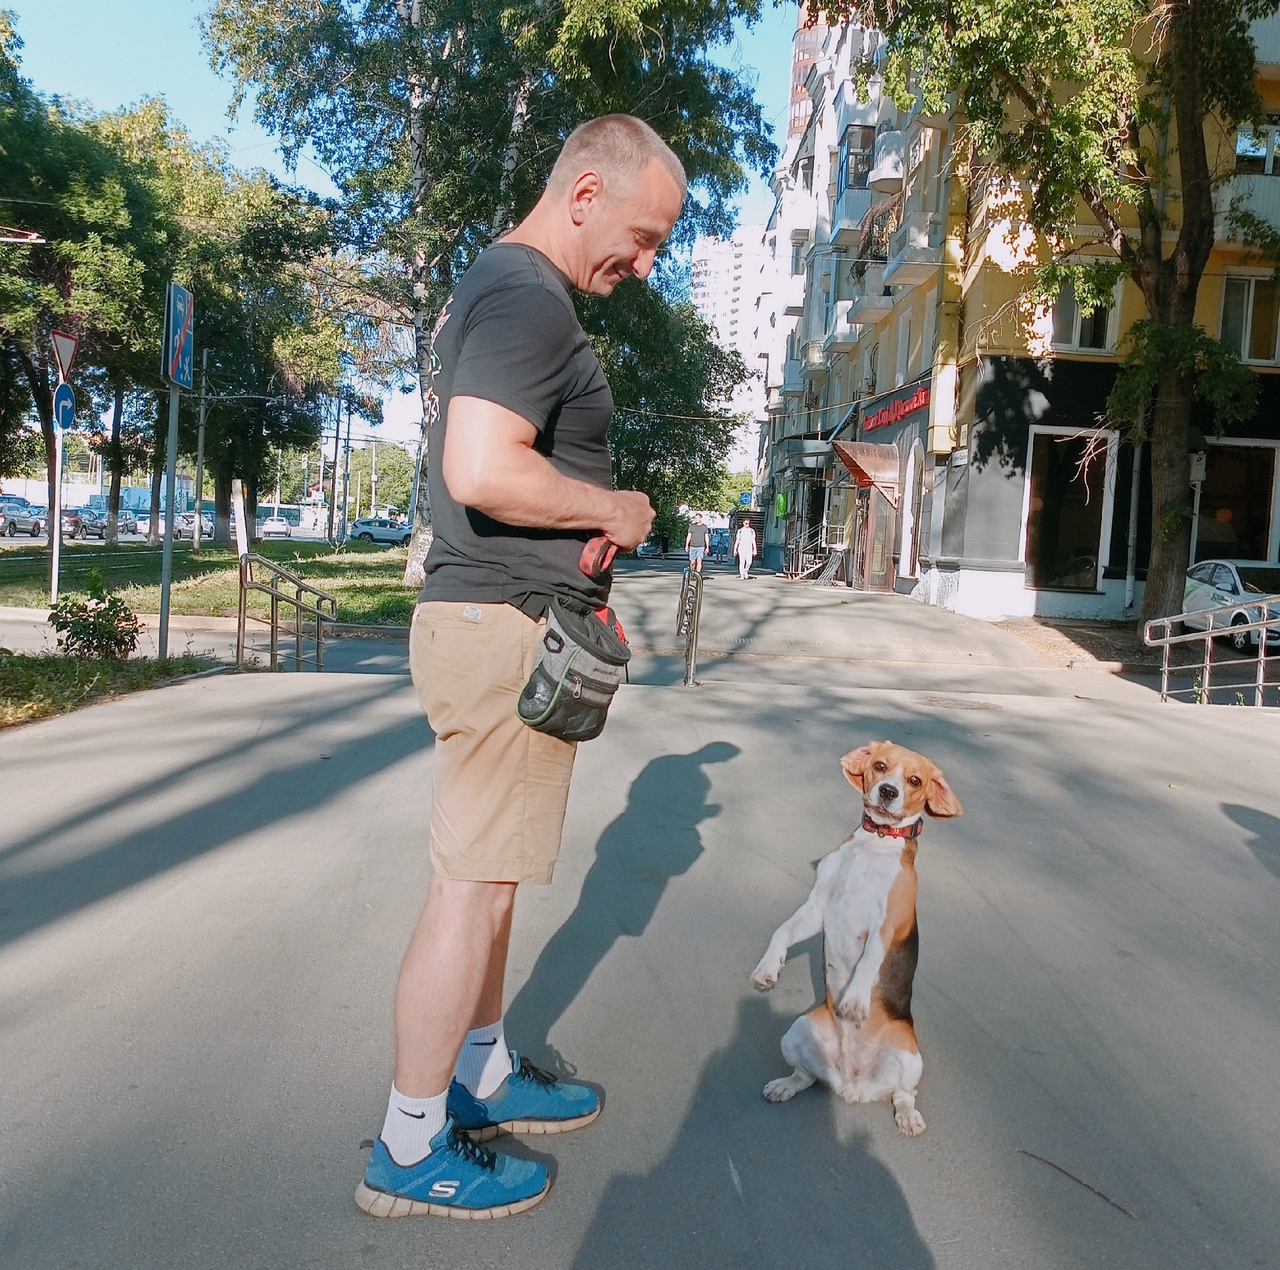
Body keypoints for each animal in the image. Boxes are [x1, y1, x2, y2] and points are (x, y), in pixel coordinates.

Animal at [747, 737, 962, 1136]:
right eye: (880, 766)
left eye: (914, 780)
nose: (888, 791)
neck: (875, 843)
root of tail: (852, 1084)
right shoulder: (818, 907)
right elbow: (782, 930)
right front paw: (768, 968)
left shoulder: (886, 922)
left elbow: (870, 958)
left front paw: (855, 1001)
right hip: (796, 1031)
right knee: (806, 1076)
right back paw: (785, 1085)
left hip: (911, 1057)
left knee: (902, 1094)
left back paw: (908, 1116)